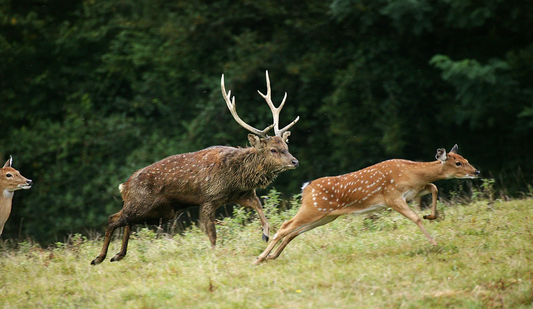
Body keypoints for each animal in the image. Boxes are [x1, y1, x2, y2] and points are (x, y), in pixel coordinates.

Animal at [91, 71, 300, 264]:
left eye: (286, 146)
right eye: (273, 149)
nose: (295, 161)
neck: (235, 176)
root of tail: (124, 186)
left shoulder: (242, 194)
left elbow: (260, 209)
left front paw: (265, 234)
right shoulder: (208, 197)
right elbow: (212, 234)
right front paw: (214, 255)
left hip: (160, 211)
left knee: (126, 221)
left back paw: (118, 255)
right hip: (144, 203)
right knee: (113, 219)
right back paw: (99, 258)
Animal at [254, 144, 478, 262]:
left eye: (466, 158)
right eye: (458, 162)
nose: (476, 171)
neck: (412, 172)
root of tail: (306, 187)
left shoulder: (414, 191)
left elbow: (434, 187)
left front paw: (431, 215)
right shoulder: (392, 196)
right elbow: (415, 218)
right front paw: (434, 243)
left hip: (325, 215)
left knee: (293, 231)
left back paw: (272, 256)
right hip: (313, 208)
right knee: (286, 226)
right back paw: (260, 258)